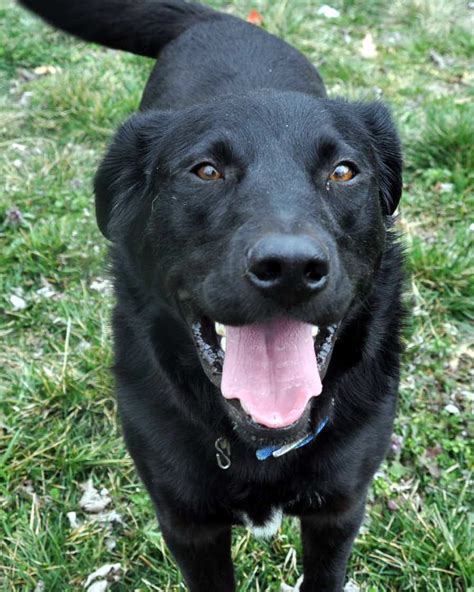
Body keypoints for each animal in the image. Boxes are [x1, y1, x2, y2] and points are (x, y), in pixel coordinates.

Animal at [19, 2, 404, 588]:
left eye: (343, 171)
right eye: (205, 170)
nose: (290, 268)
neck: (260, 444)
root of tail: (219, 19)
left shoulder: (339, 511)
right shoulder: (187, 524)